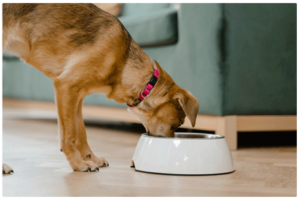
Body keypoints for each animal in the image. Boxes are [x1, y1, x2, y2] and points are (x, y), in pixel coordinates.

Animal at [2, 2, 199, 173]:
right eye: (178, 123)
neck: (123, 62)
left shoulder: (76, 96)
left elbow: (80, 133)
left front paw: (90, 158)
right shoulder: (66, 86)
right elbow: (69, 135)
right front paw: (78, 164)